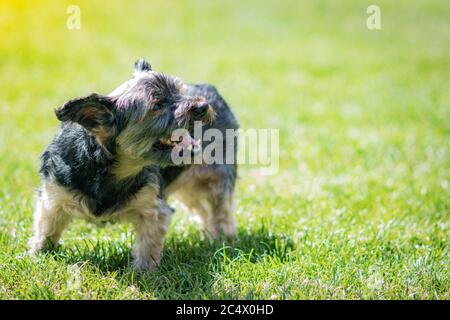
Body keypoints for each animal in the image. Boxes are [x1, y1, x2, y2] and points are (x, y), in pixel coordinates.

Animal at [28, 58, 239, 272]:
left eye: (181, 91)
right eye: (157, 104)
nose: (203, 106)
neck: (111, 170)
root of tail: (210, 89)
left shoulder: (153, 206)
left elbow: (148, 244)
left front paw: (141, 274)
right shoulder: (53, 196)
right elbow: (46, 228)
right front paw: (38, 256)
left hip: (216, 178)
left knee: (220, 210)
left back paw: (223, 240)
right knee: (201, 210)